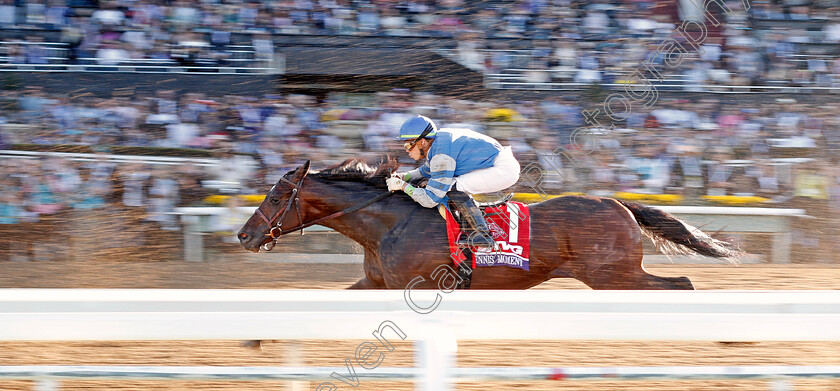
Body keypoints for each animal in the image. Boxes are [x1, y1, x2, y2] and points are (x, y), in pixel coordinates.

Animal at [238, 159, 740, 290]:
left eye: (277, 197)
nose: (244, 235)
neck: (387, 226)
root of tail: (619, 204)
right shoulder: (376, 285)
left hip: (613, 275)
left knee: (681, 285)